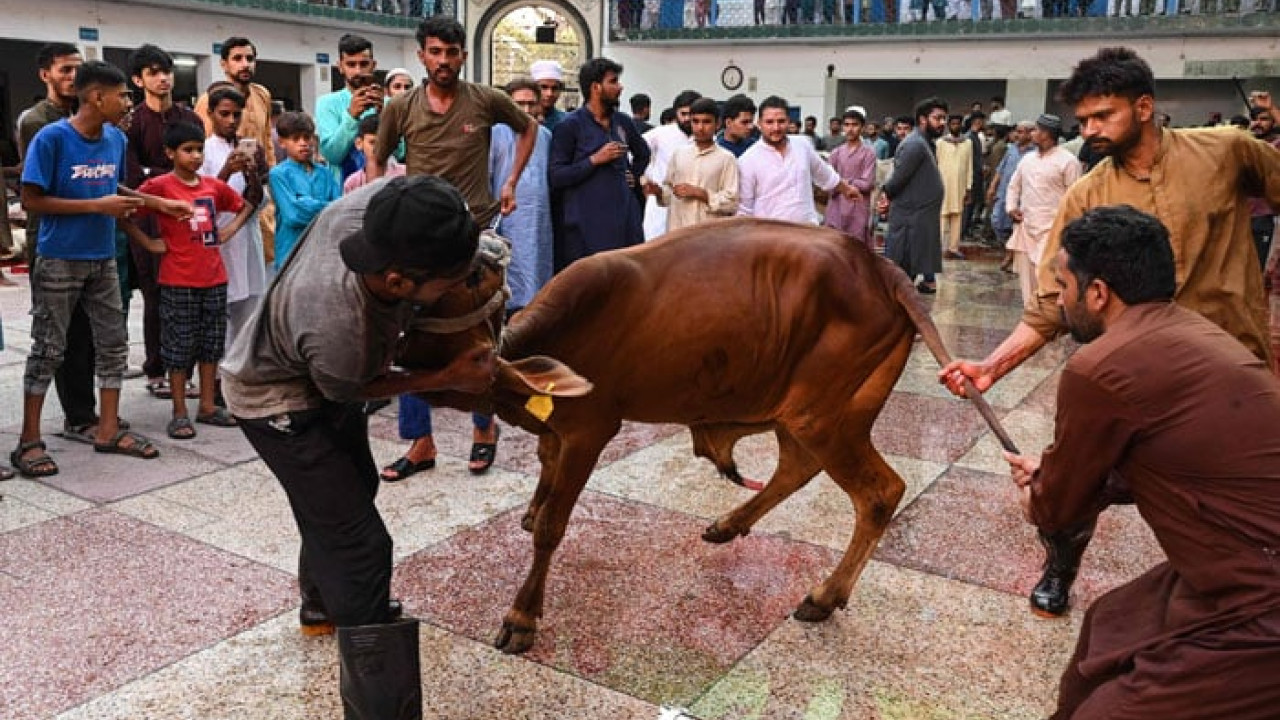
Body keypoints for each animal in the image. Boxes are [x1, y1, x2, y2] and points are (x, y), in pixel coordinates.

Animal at [409, 219, 998, 655]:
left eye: (464, 282)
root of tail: (878, 264)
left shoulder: (589, 429)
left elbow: (553, 526)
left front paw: (522, 617)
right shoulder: (555, 431)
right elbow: (543, 482)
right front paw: (531, 509)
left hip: (823, 414)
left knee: (879, 492)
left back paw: (825, 595)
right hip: (807, 410)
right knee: (797, 467)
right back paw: (729, 525)